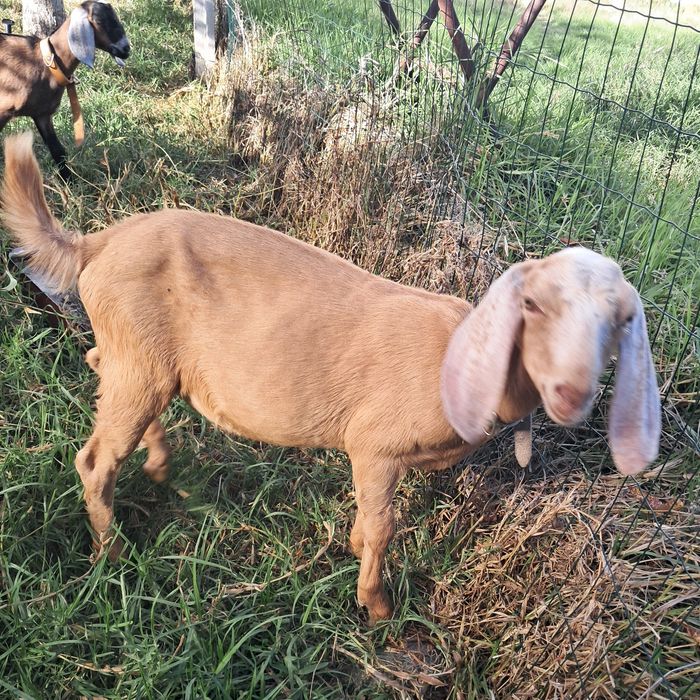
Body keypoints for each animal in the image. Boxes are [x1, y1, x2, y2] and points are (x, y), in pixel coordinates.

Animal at [0, 1, 129, 178]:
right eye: (99, 21)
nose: (126, 49)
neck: (45, 63)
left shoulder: (42, 113)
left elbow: (58, 151)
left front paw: (69, 180)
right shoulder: (3, 110)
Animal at [1, 132, 661, 624]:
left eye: (619, 321)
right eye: (533, 306)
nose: (572, 394)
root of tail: (94, 244)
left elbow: (371, 517)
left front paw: (353, 549)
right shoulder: (376, 443)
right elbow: (386, 524)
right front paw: (377, 607)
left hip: (139, 355)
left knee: (101, 369)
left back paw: (160, 465)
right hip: (139, 358)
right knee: (94, 458)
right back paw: (111, 554)